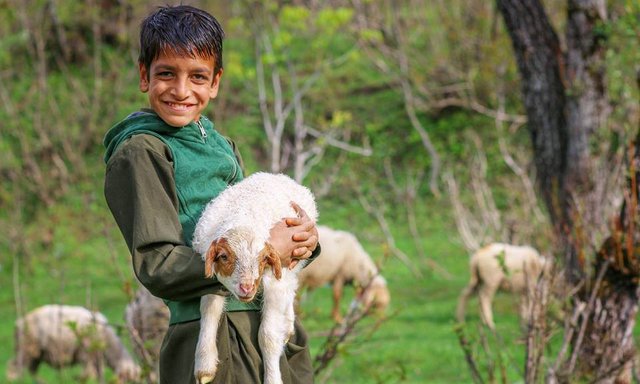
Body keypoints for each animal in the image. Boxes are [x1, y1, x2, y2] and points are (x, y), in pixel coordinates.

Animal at [5, 304, 141, 382]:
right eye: (132, 381)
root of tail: (19, 322)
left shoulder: (96, 356)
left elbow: (99, 374)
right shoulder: (86, 353)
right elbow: (90, 373)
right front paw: (81, 379)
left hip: (37, 353)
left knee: (32, 370)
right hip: (26, 348)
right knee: (14, 367)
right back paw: (14, 380)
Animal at [191, 172, 318, 384]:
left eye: (263, 259)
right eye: (224, 256)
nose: (247, 287)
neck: (242, 216)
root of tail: (278, 176)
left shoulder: (274, 281)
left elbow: (268, 336)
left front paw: (273, 378)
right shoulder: (210, 280)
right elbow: (209, 311)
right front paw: (205, 366)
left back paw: (287, 324)